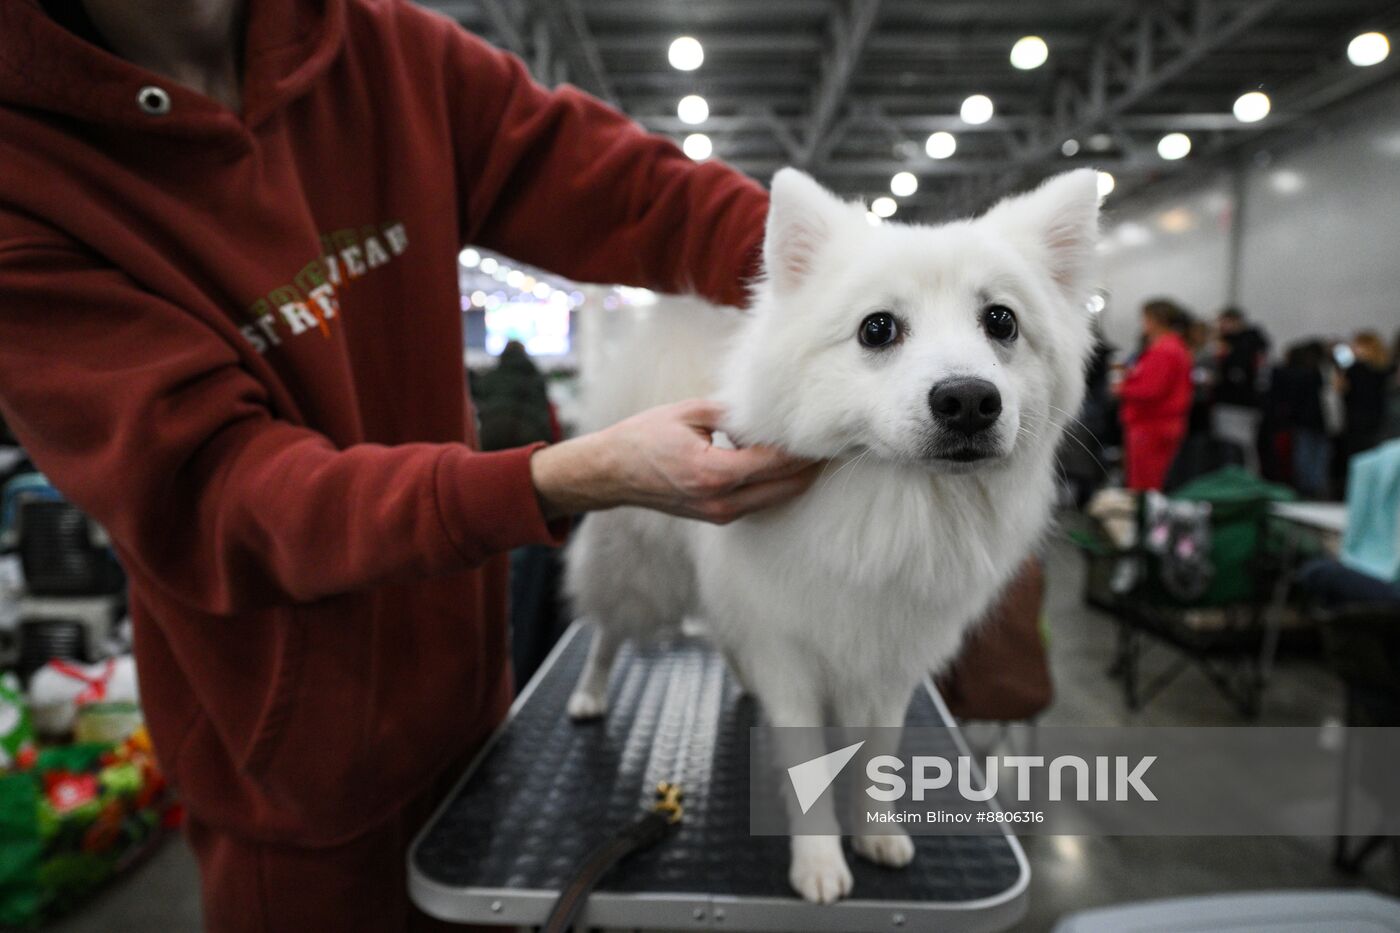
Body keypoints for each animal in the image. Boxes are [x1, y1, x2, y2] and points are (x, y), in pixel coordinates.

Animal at [562, 167, 1097, 902]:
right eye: (878, 329)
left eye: (1001, 321)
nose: (967, 399)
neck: (898, 504)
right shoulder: (791, 651)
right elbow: (808, 771)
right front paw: (818, 863)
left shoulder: (889, 661)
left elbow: (878, 759)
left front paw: (876, 833)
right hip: (639, 571)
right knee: (607, 631)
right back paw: (589, 691)